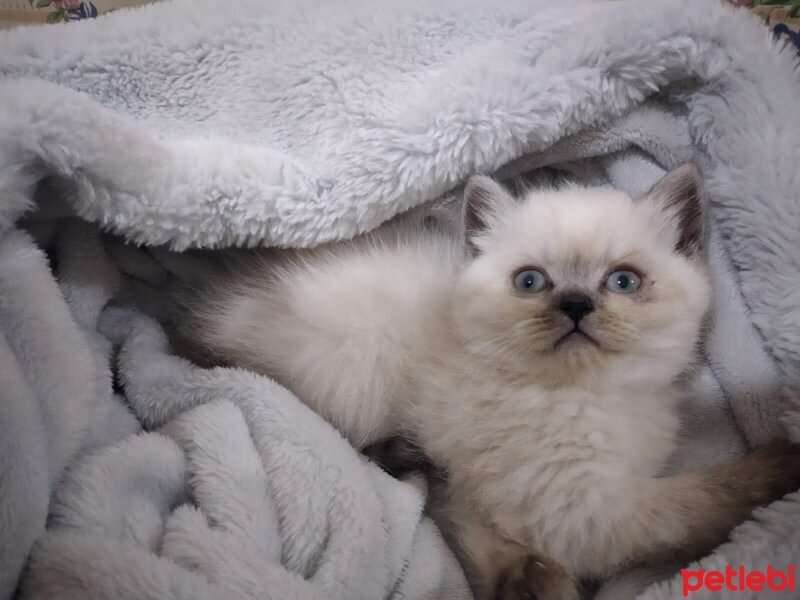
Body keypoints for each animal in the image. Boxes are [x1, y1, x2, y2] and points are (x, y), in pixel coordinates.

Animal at [173, 165, 800, 600]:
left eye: (623, 281)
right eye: (531, 281)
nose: (576, 306)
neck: (593, 396)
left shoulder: (503, 493)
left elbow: (472, 521)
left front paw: (523, 578)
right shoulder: (582, 508)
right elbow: (701, 499)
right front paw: (782, 462)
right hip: (353, 368)